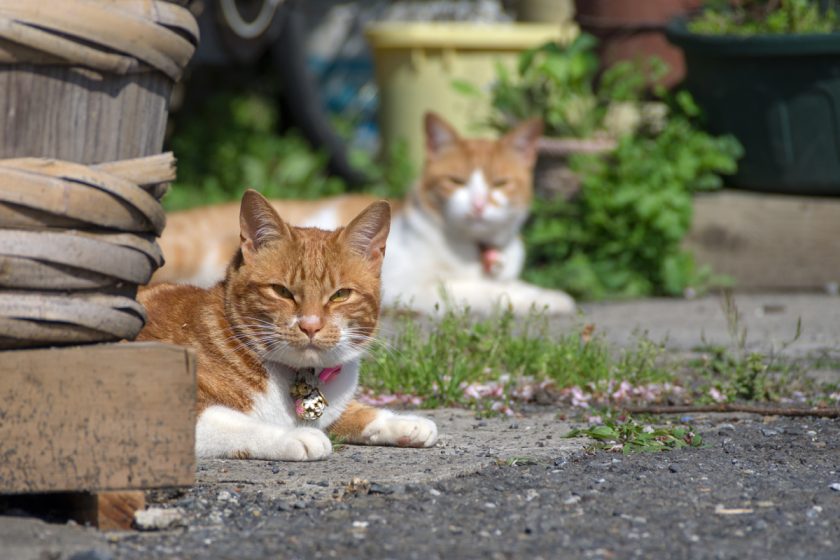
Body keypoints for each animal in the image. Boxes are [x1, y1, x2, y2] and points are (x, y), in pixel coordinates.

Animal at [136, 188, 440, 460]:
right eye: (281, 291)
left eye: (340, 295)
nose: (310, 325)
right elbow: (240, 422)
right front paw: (295, 435)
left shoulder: (335, 408)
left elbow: (356, 411)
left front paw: (402, 422)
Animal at [156, 114, 576, 316]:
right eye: (455, 181)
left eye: (500, 184)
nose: (477, 205)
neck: (472, 250)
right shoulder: (413, 287)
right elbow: (477, 290)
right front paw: (539, 299)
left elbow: (509, 284)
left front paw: (544, 295)